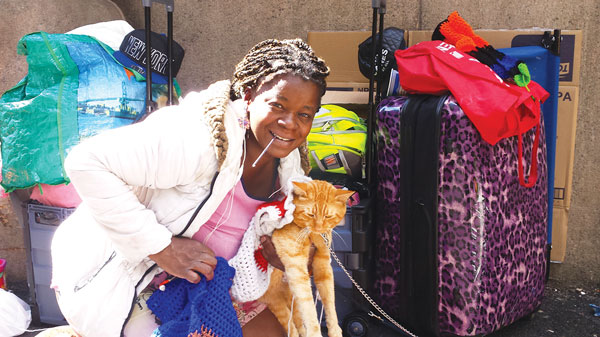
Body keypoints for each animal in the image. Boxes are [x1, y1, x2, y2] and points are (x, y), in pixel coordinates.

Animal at [260, 180, 354, 336]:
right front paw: (316, 333)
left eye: (328, 216)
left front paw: (334, 330)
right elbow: (309, 309)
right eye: (310, 214)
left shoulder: (323, 266)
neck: (311, 235)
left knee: (297, 322)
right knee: (292, 327)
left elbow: (330, 301)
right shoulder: (297, 271)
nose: (318, 228)